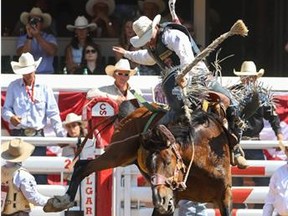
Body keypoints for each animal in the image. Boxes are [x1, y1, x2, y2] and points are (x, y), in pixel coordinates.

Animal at [43, 103, 236, 216]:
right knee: (83, 165)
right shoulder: (169, 198)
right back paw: (61, 201)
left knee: (84, 165)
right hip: (118, 153)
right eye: (149, 167)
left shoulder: (224, 196)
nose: (159, 199)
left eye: (168, 162)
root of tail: (133, 112)